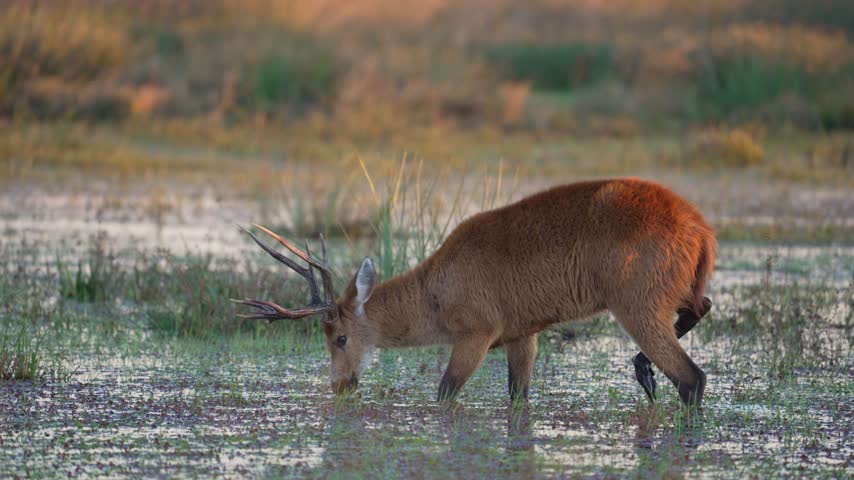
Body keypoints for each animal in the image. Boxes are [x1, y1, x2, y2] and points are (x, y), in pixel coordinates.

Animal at [233, 178, 716, 408]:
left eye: (340, 337)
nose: (340, 386)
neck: (433, 290)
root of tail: (699, 227)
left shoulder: (475, 336)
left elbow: (445, 392)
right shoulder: (524, 336)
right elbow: (519, 396)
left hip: (635, 306)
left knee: (693, 378)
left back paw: (648, 373)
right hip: (671, 297)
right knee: (703, 307)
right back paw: (643, 370)